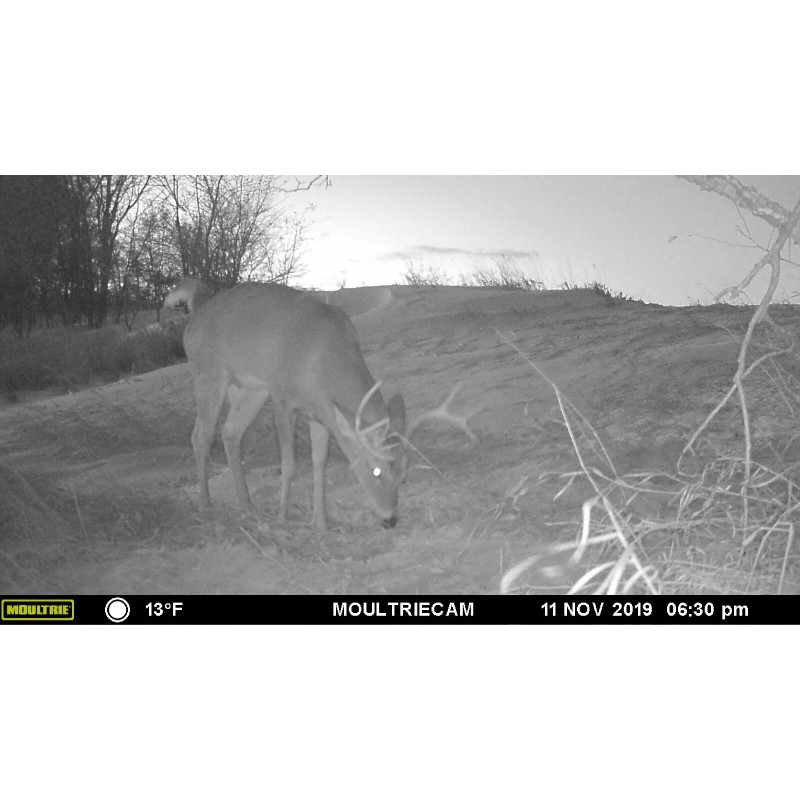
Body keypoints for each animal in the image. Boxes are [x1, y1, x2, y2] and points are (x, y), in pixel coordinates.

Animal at [164, 278, 474, 533]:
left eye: (404, 473)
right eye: (376, 470)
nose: (390, 520)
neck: (322, 361)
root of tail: (198, 310)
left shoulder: (320, 412)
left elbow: (319, 463)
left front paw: (321, 523)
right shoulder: (282, 398)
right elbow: (289, 464)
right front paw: (283, 516)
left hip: (250, 389)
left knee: (230, 433)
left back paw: (247, 505)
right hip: (209, 375)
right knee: (201, 436)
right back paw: (206, 505)